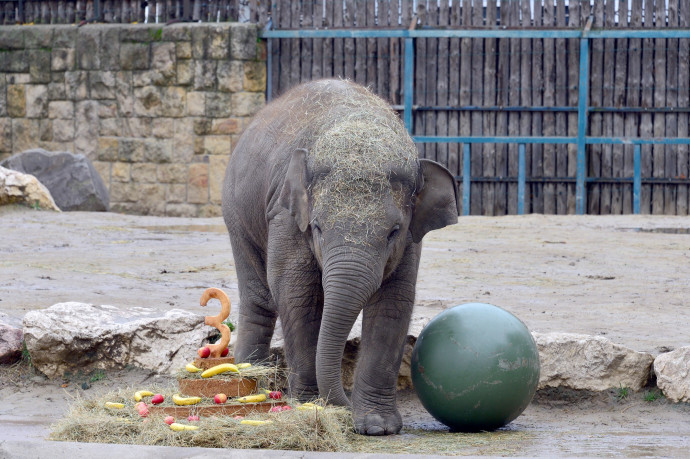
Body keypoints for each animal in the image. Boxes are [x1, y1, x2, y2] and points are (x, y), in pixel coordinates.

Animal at [220, 81, 456, 436]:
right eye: (317, 226)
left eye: (393, 231)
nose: (343, 406)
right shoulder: (287, 214)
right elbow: (296, 292)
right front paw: (309, 405)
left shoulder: (412, 238)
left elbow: (395, 300)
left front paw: (376, 426)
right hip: (236, 211)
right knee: (259, 296)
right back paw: (249, 383)